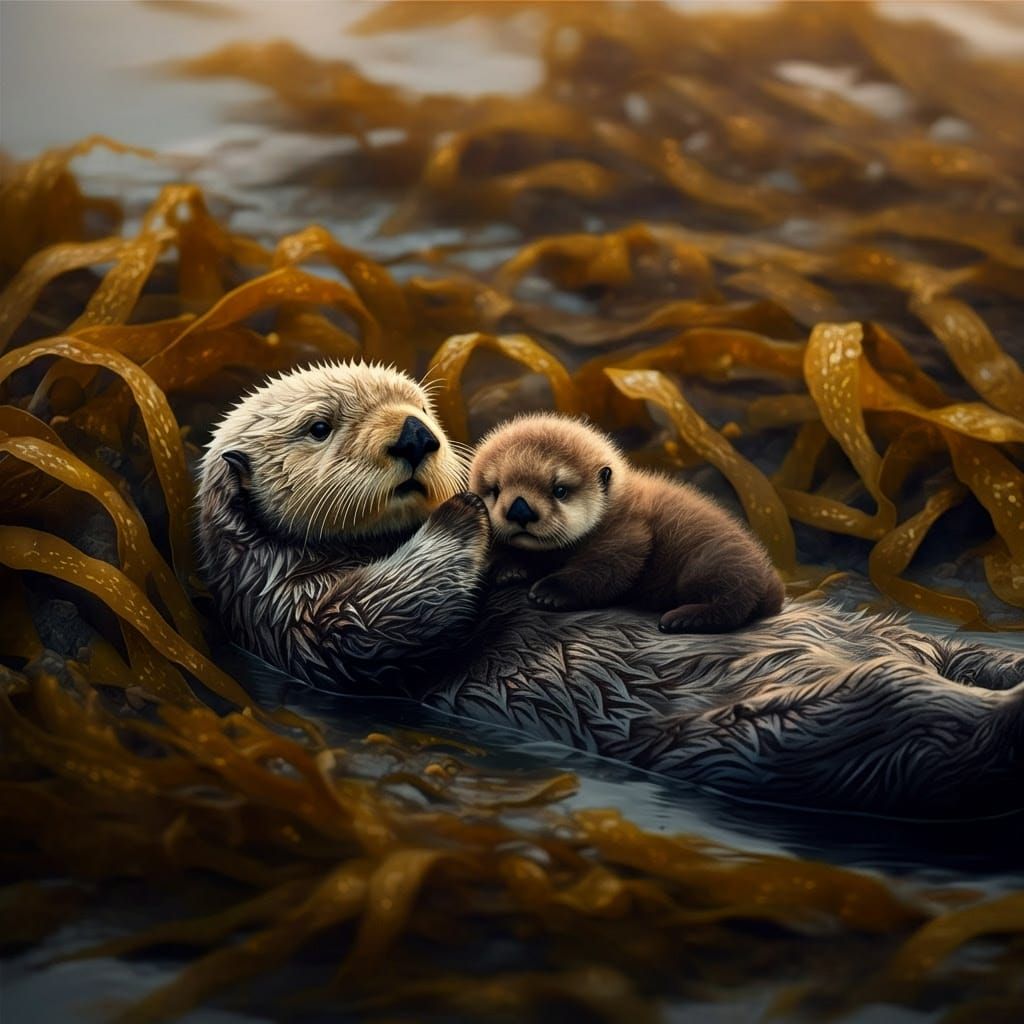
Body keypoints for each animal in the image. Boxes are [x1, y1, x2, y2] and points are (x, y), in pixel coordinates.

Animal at [469, 414, 783, 632]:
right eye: (495, 489)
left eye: (559, 490)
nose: (520, 511)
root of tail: (770, 579)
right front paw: (507, 569)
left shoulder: (628, 533)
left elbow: (607, 569)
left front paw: (550, 592)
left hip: (712, 562)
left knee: (736, 601)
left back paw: (684, 618)